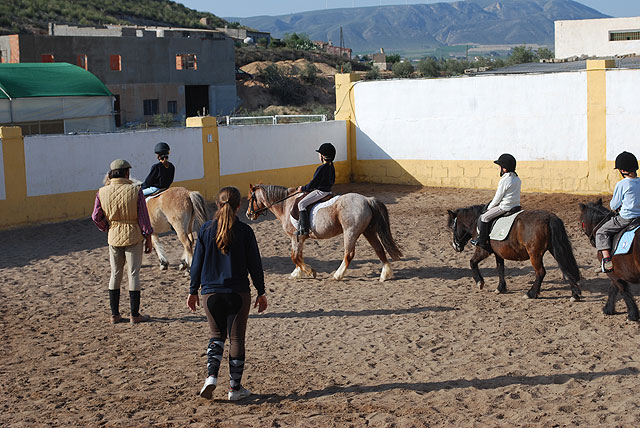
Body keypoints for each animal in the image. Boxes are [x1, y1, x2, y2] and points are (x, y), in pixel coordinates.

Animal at [245, 183, 400, 280]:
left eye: (249, 199)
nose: (248, 214)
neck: (285, 205)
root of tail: (367, 200)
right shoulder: (299, 238)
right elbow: (298, 256)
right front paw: (297, 273)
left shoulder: (295, 237)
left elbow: (294, 257)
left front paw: (309, 271)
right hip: (368, 231)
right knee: (379, 249)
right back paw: (385, 274)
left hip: (350, 232)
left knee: (349, 254)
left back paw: (337, 275)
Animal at [448, 205, 584, 300]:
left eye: (452, 227)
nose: (455, 246)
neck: (477, 221)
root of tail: (549, 217)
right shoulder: (498, 253)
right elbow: (500, 268)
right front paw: (500, 288)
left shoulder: (483, 250)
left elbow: (472, 262)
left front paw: (479, 282)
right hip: (554, 249)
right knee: (565, 267)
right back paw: (575, 294)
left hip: (534, 254)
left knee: (541, 272)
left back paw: (531, 293)